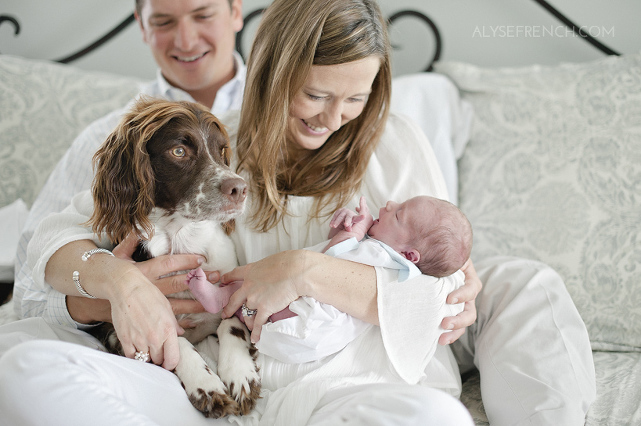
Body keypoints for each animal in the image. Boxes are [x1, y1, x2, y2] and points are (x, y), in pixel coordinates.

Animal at [86, 95, 258, 416]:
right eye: (179, 151)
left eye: (222, 150)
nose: (240, 189)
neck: (182, 239)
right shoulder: (123, 329)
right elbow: (174, 341)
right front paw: (207, 386)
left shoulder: (232, 292)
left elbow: (231, 322)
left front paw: (241, 375)